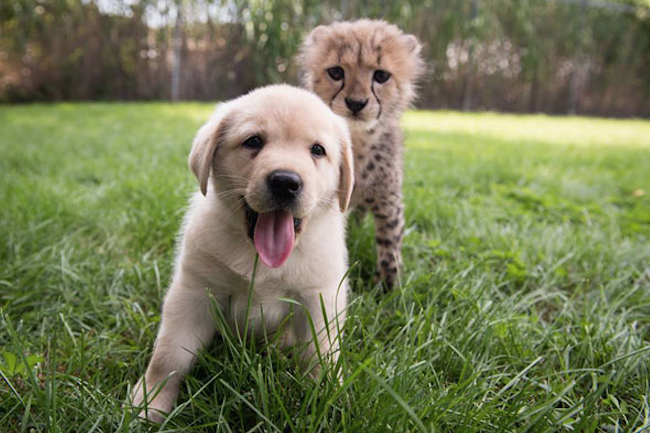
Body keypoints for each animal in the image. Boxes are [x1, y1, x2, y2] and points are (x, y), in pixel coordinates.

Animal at [130, 84, 352, 422]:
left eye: (317, 150)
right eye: (253, 141)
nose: (285, 182)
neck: (258, 256)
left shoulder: (319, 299)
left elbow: (321, 355)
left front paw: (327, 399)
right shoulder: (195, 292)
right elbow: (168, 356)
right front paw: (150, 401)